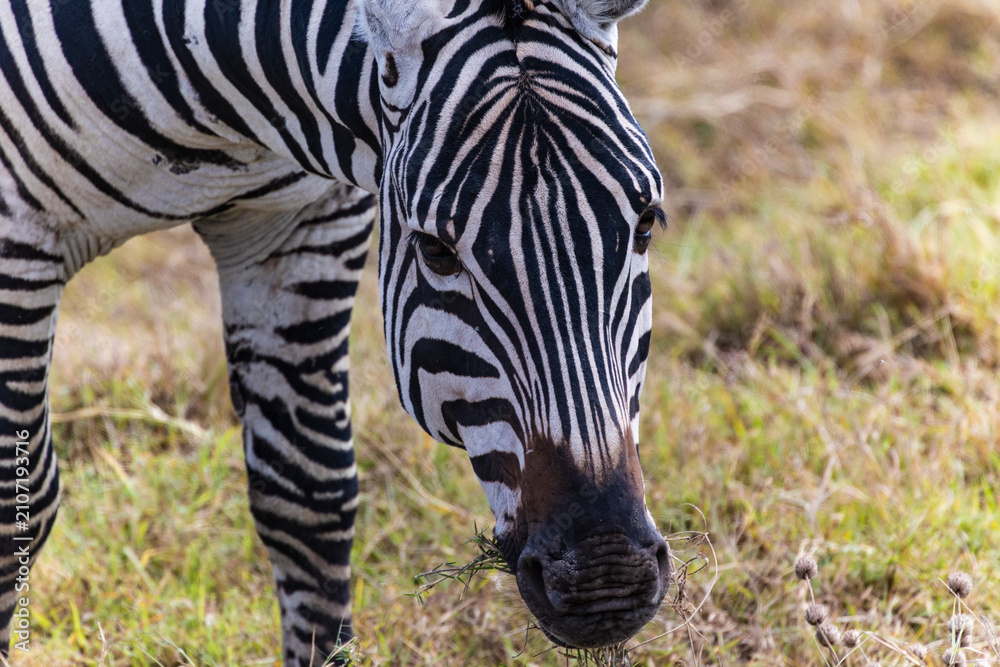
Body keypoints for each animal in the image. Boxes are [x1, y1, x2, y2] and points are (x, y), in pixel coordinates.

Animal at [0, 0, 670, 662]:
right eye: (435, 250)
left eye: (646, 224)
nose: (609, 580)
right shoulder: (16, 238)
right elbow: (16, 509)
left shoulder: (303, 227)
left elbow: (307, 491)